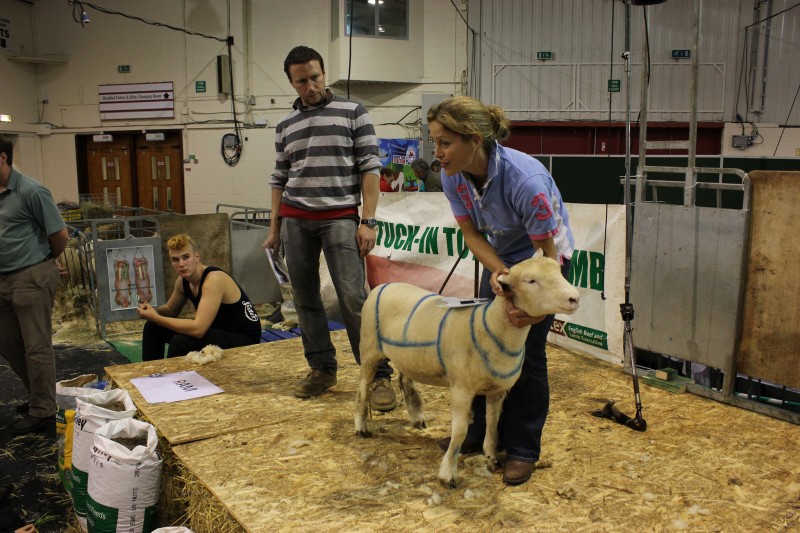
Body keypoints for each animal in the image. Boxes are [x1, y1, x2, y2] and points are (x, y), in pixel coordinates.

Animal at [354, 256, 580, 488]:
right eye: (531, 281)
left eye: (559, 272)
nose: (574, 298)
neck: (488, 326)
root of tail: (383, 285)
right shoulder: (461, 388)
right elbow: (460, 430)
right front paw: (448, 473)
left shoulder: (497, 390)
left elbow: (492, 423)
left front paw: (490, 456)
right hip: (370, 347)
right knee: (363, 387)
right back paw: (362, 427)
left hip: (409, 356)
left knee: (406, 381)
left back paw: (417, 417)